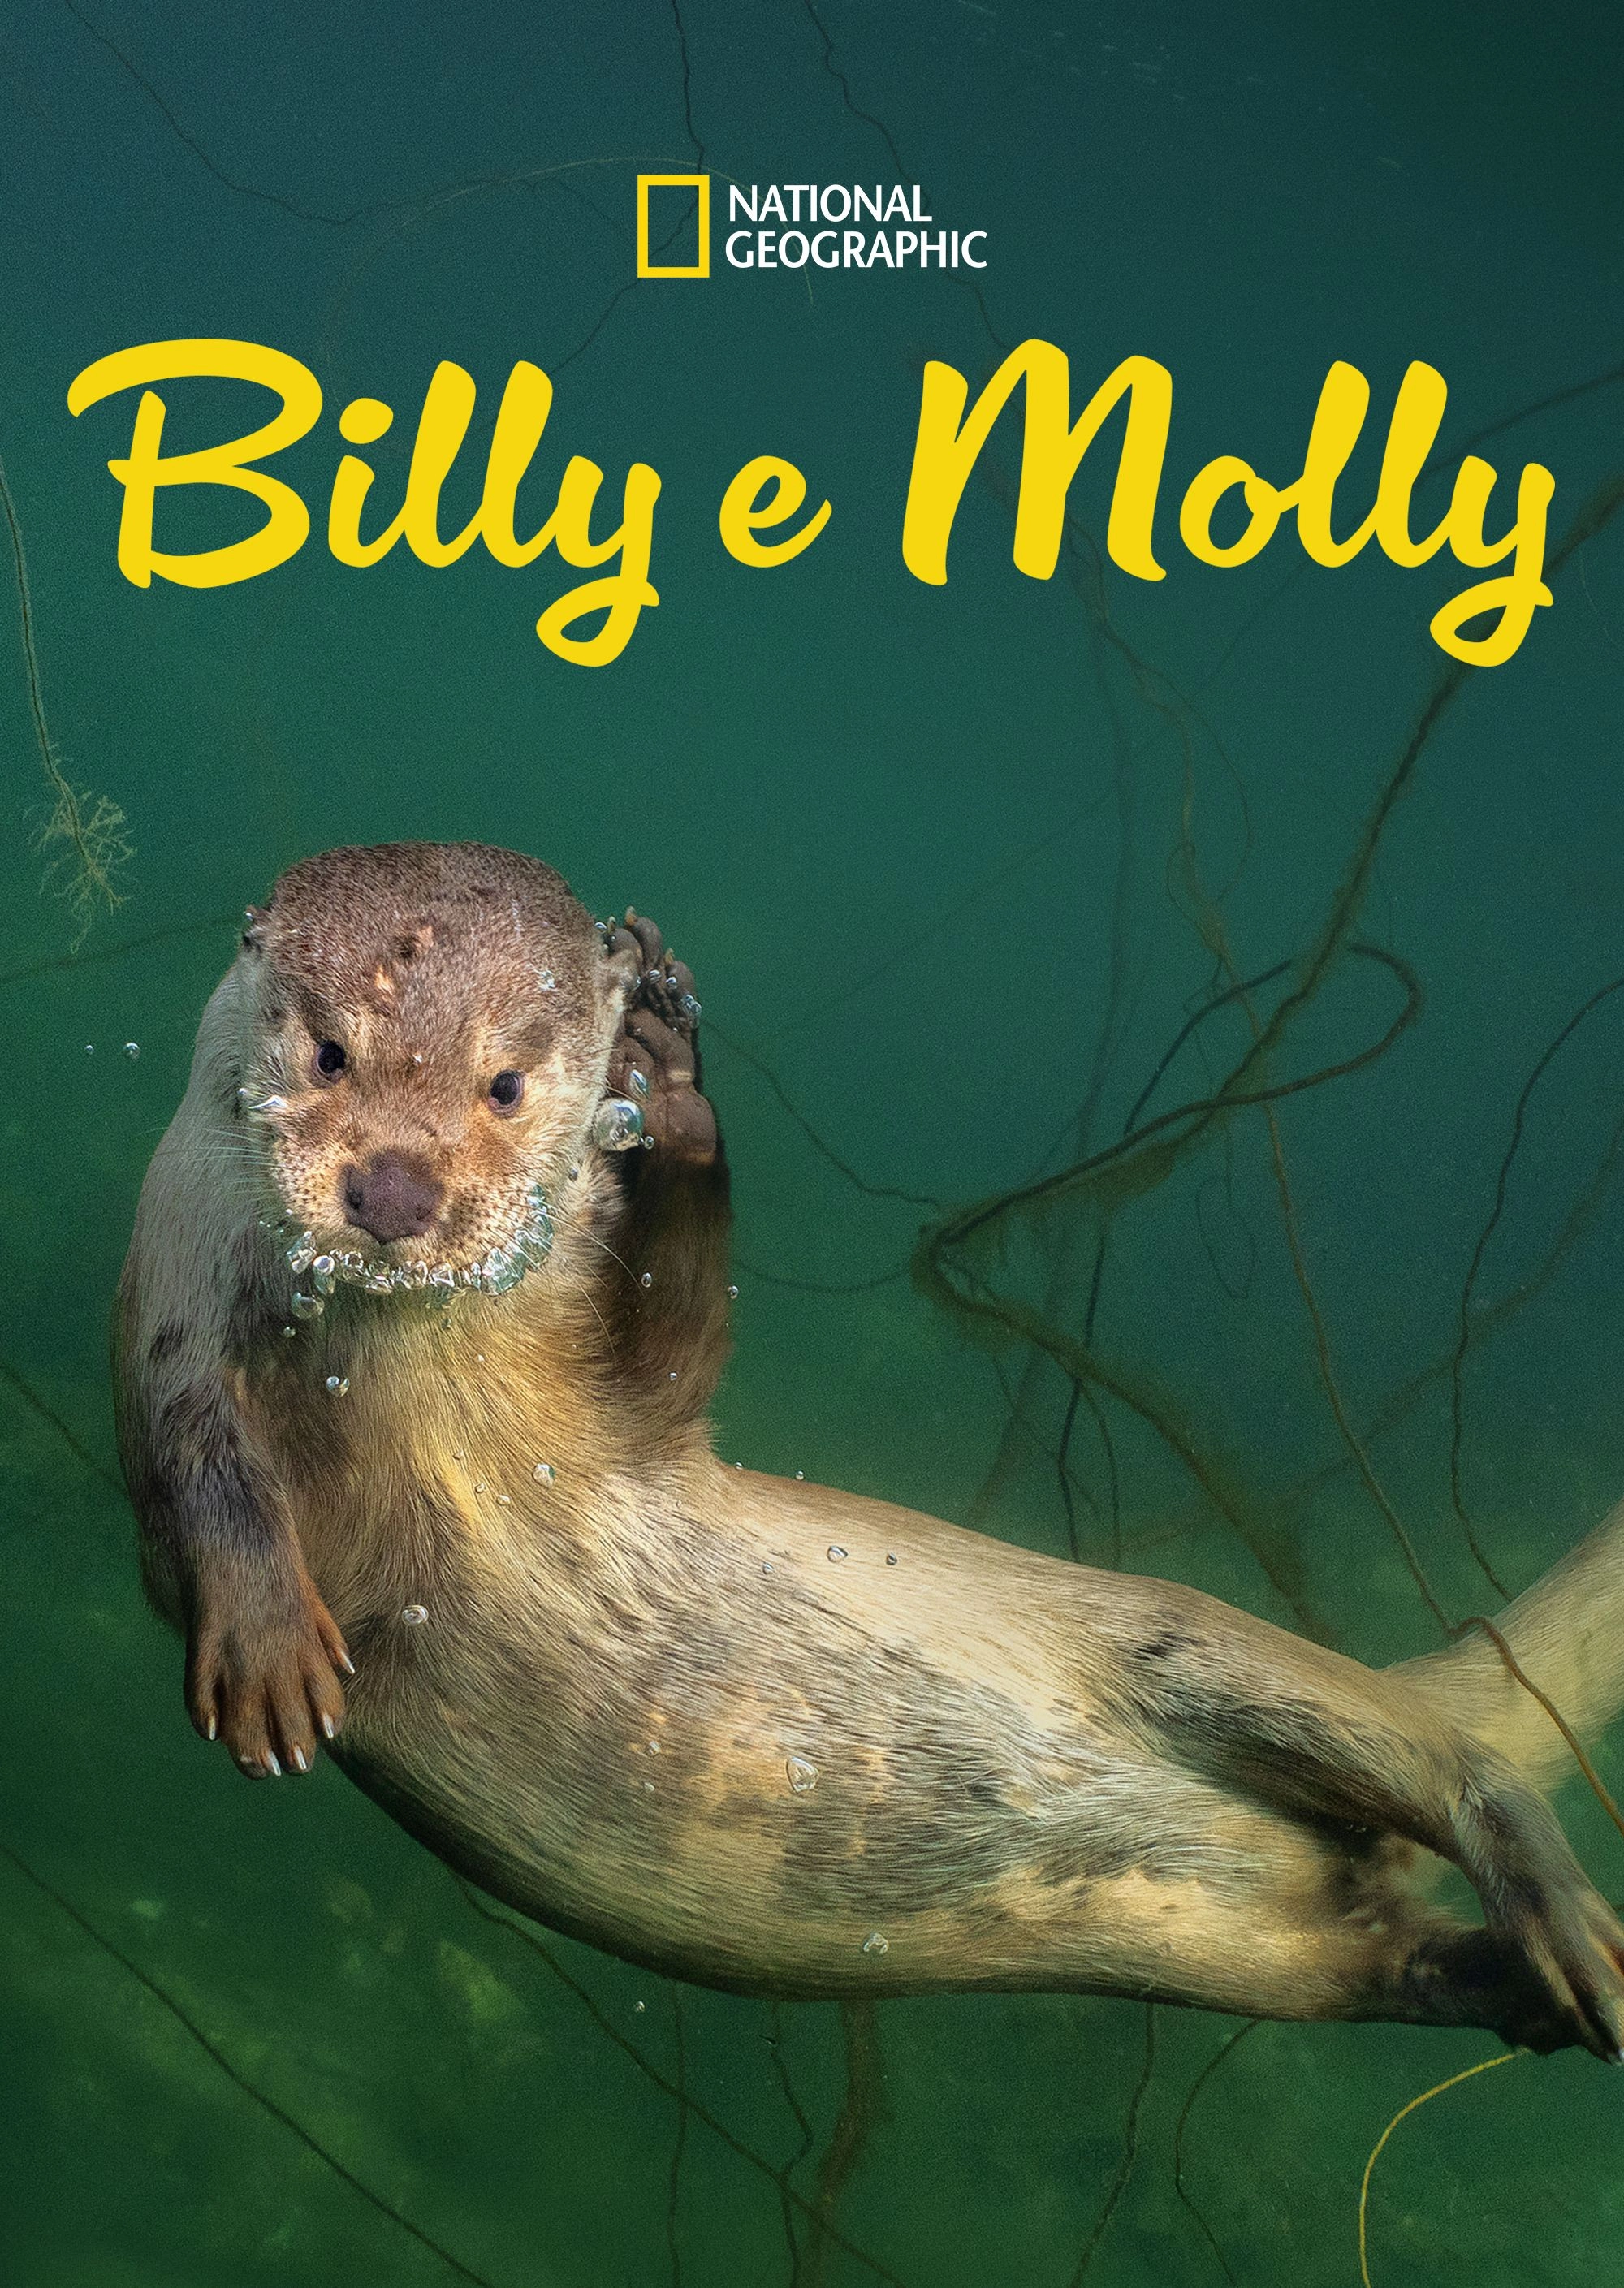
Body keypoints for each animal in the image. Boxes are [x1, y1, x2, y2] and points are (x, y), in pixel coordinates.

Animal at [114, 840, 1624, 2060]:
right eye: (329, 1053)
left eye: (507, 1082)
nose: (394, 1185)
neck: (422, 1401)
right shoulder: (170, 1311)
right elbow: (198, 1469)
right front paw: (267, 1648)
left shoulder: (625, 1425)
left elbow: (676, 1356)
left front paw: (673, 1089)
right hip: (1253, 1953)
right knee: (1375, 1944)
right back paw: (1522, 1990)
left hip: (1186, 1649)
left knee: (1446, 1760)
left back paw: (1568, 1925)